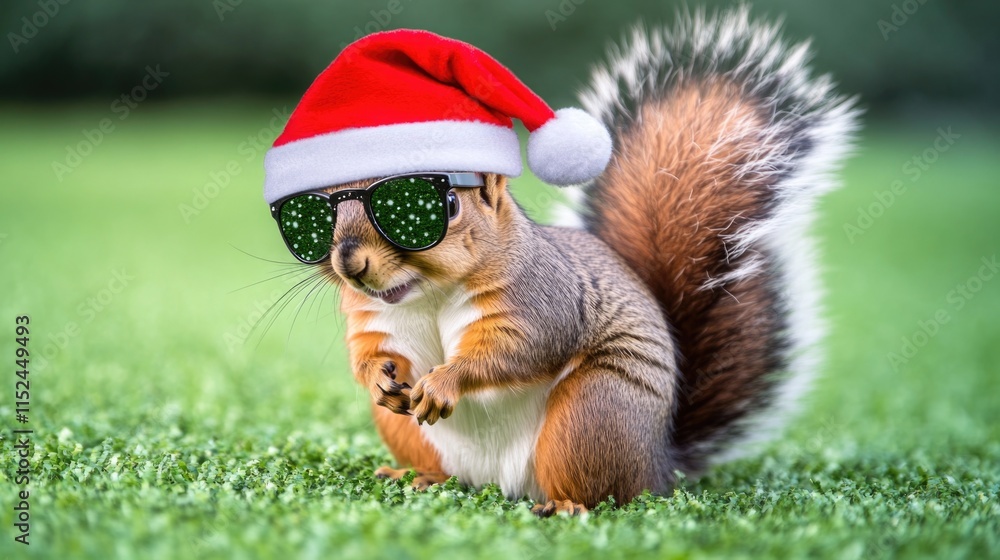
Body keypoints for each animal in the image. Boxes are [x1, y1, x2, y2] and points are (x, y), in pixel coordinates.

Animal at [263, 7, 858, 516]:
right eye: (308, 215)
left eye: (441, 205)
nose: (349, 264)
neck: (425, 292)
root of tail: (659, 467)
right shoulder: (375, 318)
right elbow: (370, 351)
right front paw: (378, 379)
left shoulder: (537, 299)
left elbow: (516, 349)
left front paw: (446, 380)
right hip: (416, 435)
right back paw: (419, 477)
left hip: (592, 416)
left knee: (603, 492)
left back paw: (569, 506)